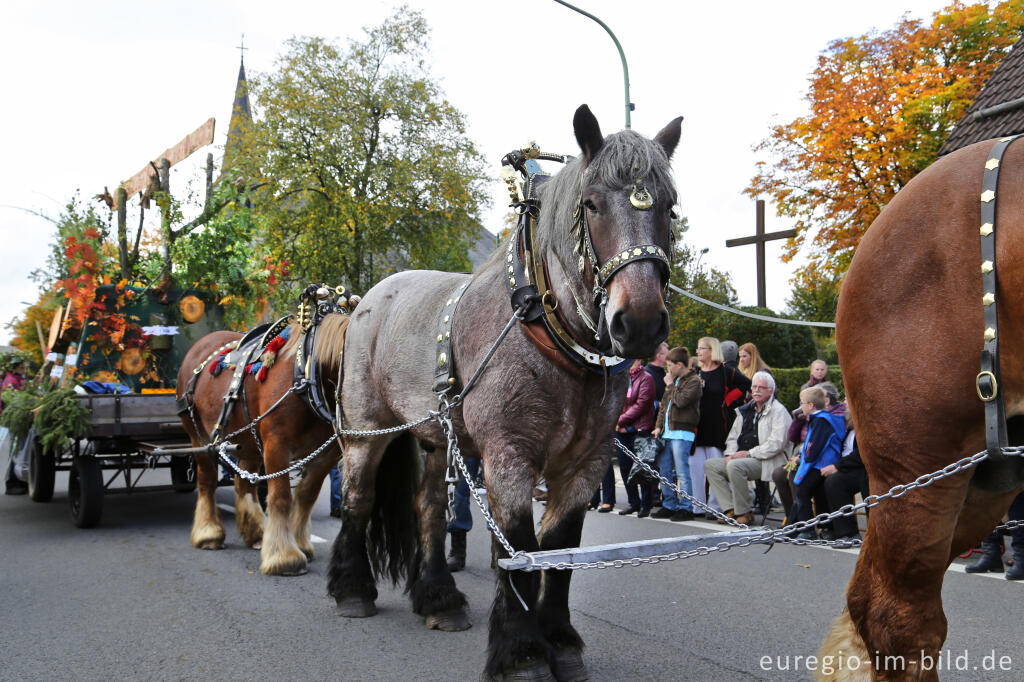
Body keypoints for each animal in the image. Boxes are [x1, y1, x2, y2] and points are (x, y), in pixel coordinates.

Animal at [176, 313, 348, 573]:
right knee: (207, 481)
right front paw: (284, 556)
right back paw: (208, 534)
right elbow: (281, 497)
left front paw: (299, 544)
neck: (306, 373)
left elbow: (306, 496)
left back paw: (257, 533)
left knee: (245, 485)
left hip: (248, 441)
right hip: (199, 436)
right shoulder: (277, 445)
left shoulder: (326, 453)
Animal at [327, 103, 679, 675]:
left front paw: (560, 640)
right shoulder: (508, 457)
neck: (548, 336)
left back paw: (438, 598)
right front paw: (522, 653)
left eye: (669, 207)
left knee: (429, 508)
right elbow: (517, 550)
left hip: (435, 438)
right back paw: (351, 589)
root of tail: (366, 299)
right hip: (366, 429)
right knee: (359, 497)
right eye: (591, 204)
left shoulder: (586, 465)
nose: (642, 321)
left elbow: (559, 549)